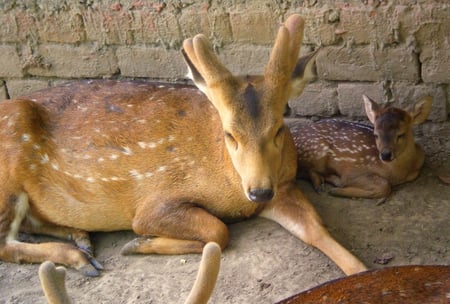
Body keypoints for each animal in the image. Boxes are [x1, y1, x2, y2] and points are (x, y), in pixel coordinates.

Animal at [0, 13, 366, 276]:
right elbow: (218, 231)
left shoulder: (285, 185)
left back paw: (81, 239)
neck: (228, 182)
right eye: (229, 135)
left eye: (278, 128)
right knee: (4, 243)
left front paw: (360, 272)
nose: (259, 191)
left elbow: (317, 229)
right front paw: (138, 243)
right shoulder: (154, 201)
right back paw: (79, 258)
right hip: (8, 176)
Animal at [288, 95, 432, 200]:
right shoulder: (352, 171)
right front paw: (337, 190)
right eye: (376, 134)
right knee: (303, 170)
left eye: (401, 134)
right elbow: (385, 186)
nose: (385, 155)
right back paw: (324, 184)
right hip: (316, 151)